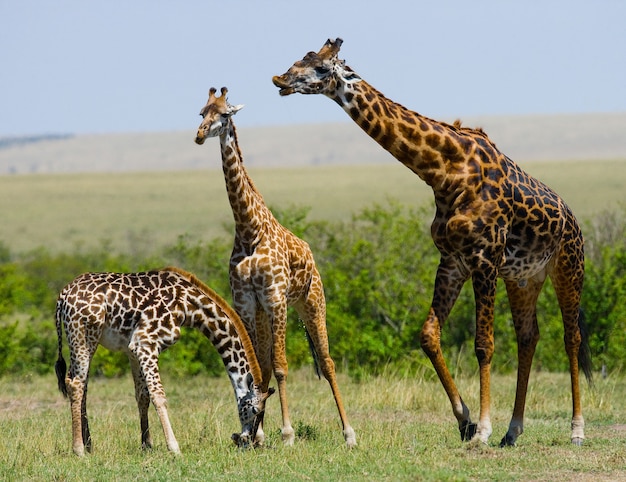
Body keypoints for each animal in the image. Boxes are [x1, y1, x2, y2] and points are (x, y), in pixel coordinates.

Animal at [55, 266, 272, 458]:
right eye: (255, 410)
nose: (251, 442)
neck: (189, 305)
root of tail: (63, 295)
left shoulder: (132, 349)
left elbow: (142, 396)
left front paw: (147, 445)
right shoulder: (145, 343)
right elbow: (159, 396)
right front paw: (174, 448)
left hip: (85, 340)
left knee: (81, 385)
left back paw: (89, 445)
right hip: (83, 335)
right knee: (75, 384)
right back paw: (79, 449)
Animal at [190, 87, 356, 448]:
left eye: (225, 114)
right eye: (201, 113)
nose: (199, 135)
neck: (249, 229)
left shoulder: (275, 297)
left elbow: (280, 366)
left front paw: (287, 432)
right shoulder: (247, 302)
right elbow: (260, 367)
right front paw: (257, 433)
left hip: (311, 301)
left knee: (328, 362)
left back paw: (349, 433)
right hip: (268, 312)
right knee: (267, 362)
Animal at [272, 37, 588, 448]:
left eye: (322, 68)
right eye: (299, 59)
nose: (280, 79)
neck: (443, 172)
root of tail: (574, 220)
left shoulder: (484, 258)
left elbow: (483, 344)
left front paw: (482, 430)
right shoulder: (452, 260)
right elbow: (428, 336)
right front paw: (465, 419)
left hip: (568, 266)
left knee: (571, 336)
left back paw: (576, 430)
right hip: (523, 278)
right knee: (528, 336)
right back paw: (513, 430)